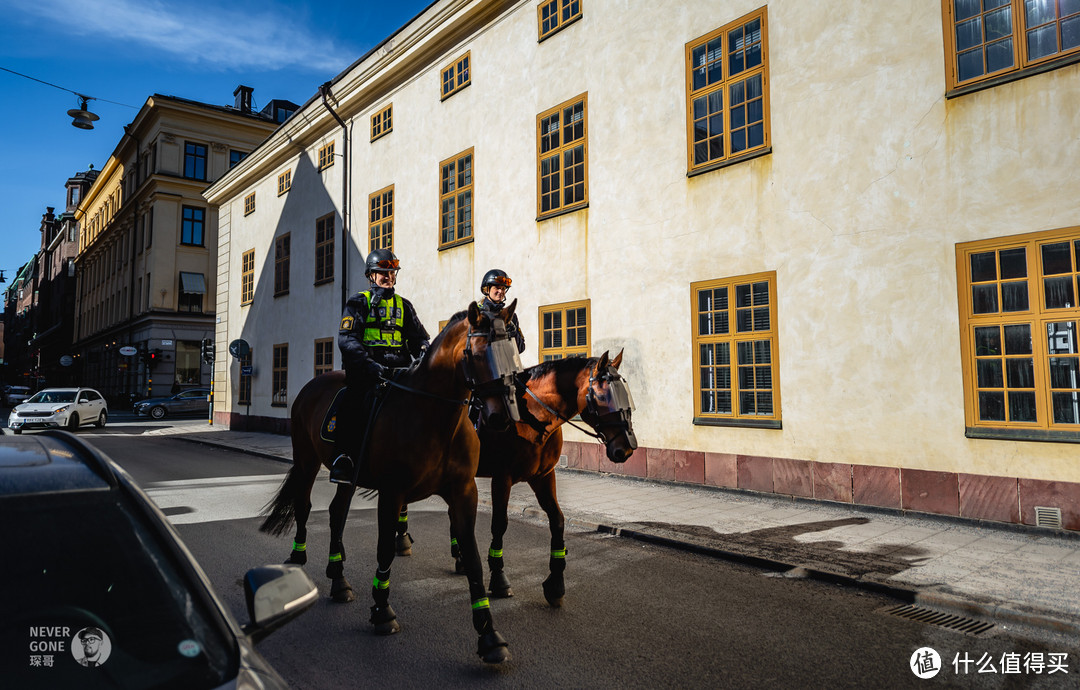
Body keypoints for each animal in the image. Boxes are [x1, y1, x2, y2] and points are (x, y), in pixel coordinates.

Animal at [257, 300, 518, 665]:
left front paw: (490, 635)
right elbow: (383, 551)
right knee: (305, 506)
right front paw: (382, 611)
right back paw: (299, 556)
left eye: (512, 349)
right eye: (480, 354)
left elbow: (474, 561)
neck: (435, 416)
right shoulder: (392, 493)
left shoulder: (464, 493)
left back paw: (338, 579)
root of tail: (311, 386)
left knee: (336, 513)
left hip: (346, 476)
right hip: (306, 460)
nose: (501, 417)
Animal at [406, 349, 639, 604]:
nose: (626, 449)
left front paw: (555, 583)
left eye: (626, 394)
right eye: (603, 396)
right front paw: (499, 578)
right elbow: (499, 524)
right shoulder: (502, 478)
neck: (533, 418)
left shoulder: (543, 477)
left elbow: (557, 521)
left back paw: (459, 558)